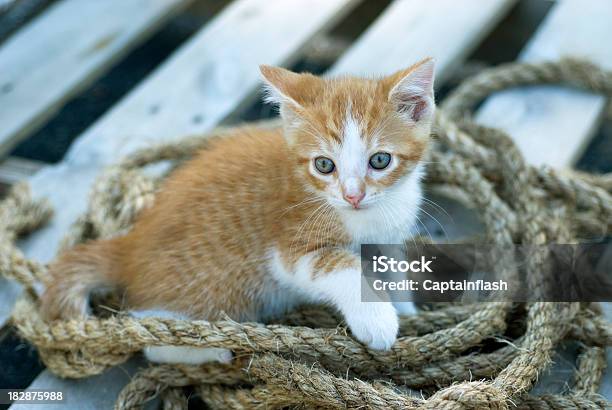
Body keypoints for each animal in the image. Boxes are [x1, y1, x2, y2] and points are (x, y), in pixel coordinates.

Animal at [40, 57, 436, 366]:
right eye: (324, 165)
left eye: (380, 160)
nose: (353, 195)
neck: (371, 214)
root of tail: (131, 244)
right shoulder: (288, 249)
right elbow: (343, 267)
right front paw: (378, 318)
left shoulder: (389, 238)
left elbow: (393, 271)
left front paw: (406, 309)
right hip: (213, 286)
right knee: (152, 338)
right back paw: (211, 352)